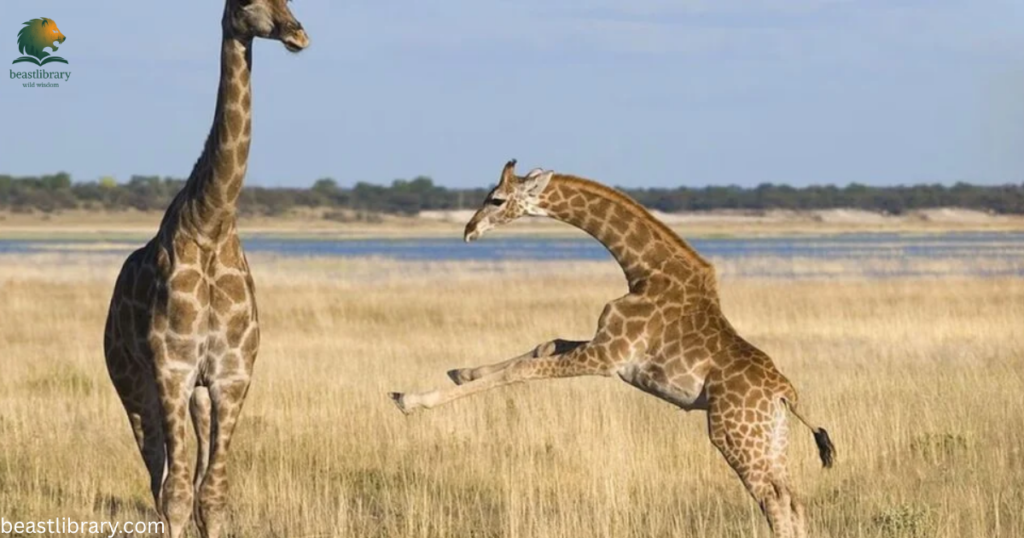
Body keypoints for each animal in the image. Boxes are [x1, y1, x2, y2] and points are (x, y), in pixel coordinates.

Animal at [102, 2, 308, 537]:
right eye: (245, 5)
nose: (298, 34)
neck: (211, 224)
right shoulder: (171, 370)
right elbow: (174, 496)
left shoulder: (232, 375)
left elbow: (212, 497)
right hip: (131, 382)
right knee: (159, 476)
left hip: (195, 395)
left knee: (190, 477)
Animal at [390, 160, 836, 538]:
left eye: (496, 199)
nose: (468, 229)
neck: (643, 271)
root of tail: (786, 393)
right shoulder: (602, 343)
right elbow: (543, 344)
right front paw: (461, 371)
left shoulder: (608, 356)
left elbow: (522, 370)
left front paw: (410, 399)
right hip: (770, 436)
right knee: (792, 500)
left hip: (734, 433)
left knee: (774, 501)